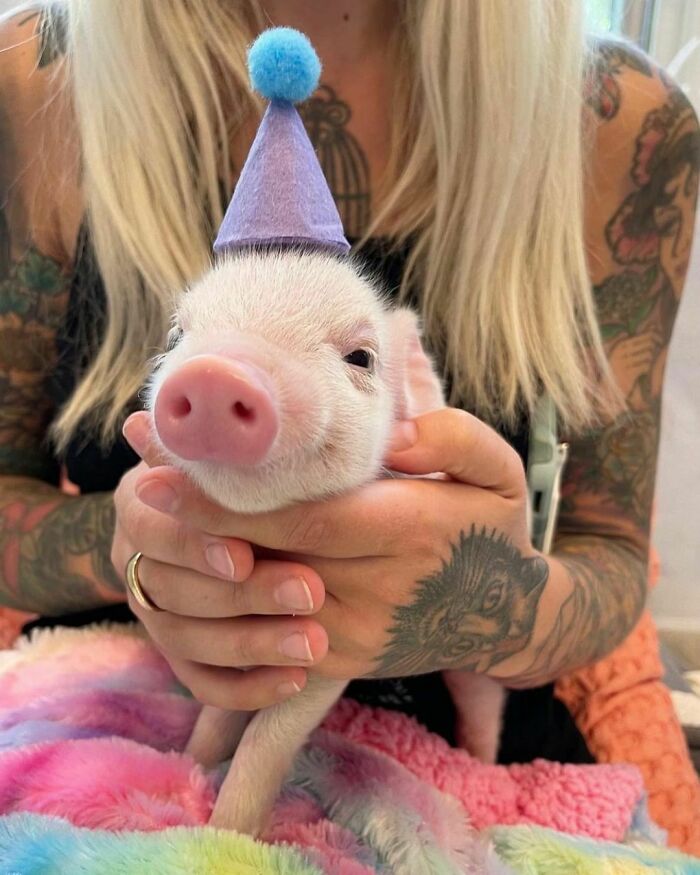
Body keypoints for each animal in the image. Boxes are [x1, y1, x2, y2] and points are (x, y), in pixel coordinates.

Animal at [146, 246, 505, 835]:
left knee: (483, 695)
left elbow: (269, 737)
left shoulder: (335, 654)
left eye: (360, 357)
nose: (217, 373)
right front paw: (189, 767)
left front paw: (226, 835)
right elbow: (221, 710)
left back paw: (479, 773)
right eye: (177, 335)